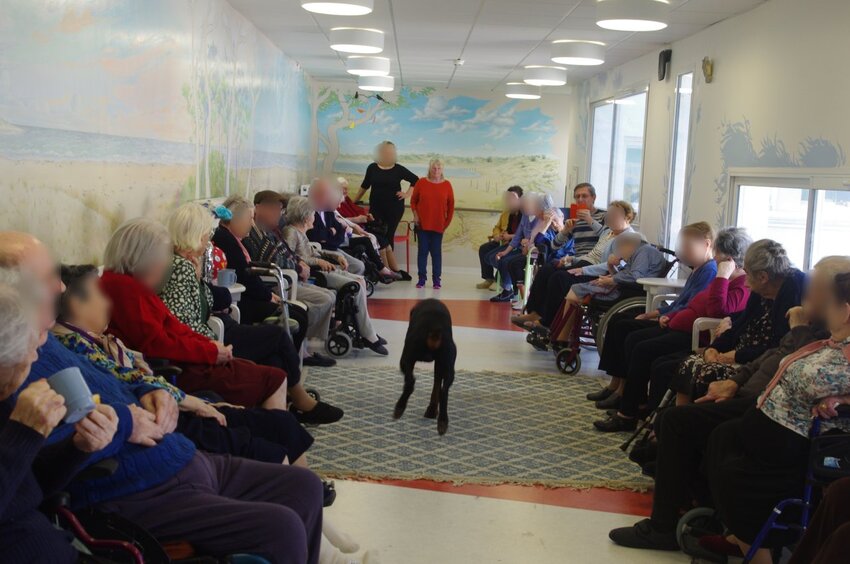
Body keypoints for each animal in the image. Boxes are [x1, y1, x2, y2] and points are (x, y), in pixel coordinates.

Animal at [392, 300, 458, 436]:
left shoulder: (407, 360)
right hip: (449, 363)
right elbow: (437, 385)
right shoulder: (440, 363)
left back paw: (400, 407)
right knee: (444, 391)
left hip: (407, 358)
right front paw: (432, 410)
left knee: (410, 383)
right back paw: (441, 420)